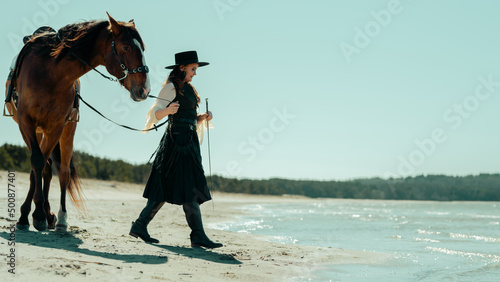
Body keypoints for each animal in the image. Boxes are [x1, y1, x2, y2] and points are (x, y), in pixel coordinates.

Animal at [5, 13, 150, 231]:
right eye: (126, 47)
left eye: (143, 47)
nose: (145, 90)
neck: (51, 73)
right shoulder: (25, 122)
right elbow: (36, 163)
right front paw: (32, 214)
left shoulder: (57, 127)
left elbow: (46, 167)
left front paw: (39, 214)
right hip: (38, 131)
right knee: (43, 167)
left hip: (65, 131)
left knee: (61, 171)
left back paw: (59, 218)